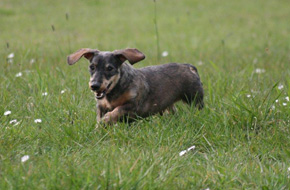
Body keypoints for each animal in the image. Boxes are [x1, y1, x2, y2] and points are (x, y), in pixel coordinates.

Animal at [67, 48, 204, 124]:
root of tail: (189, 67)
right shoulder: (101, 107)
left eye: (110, 68)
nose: (94, 85)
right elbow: (100, 117)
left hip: (194, 99)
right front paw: (99, 127)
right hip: (169, 105)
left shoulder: (133, 106)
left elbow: (117, 110)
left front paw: (105, 120)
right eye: (92, 67)